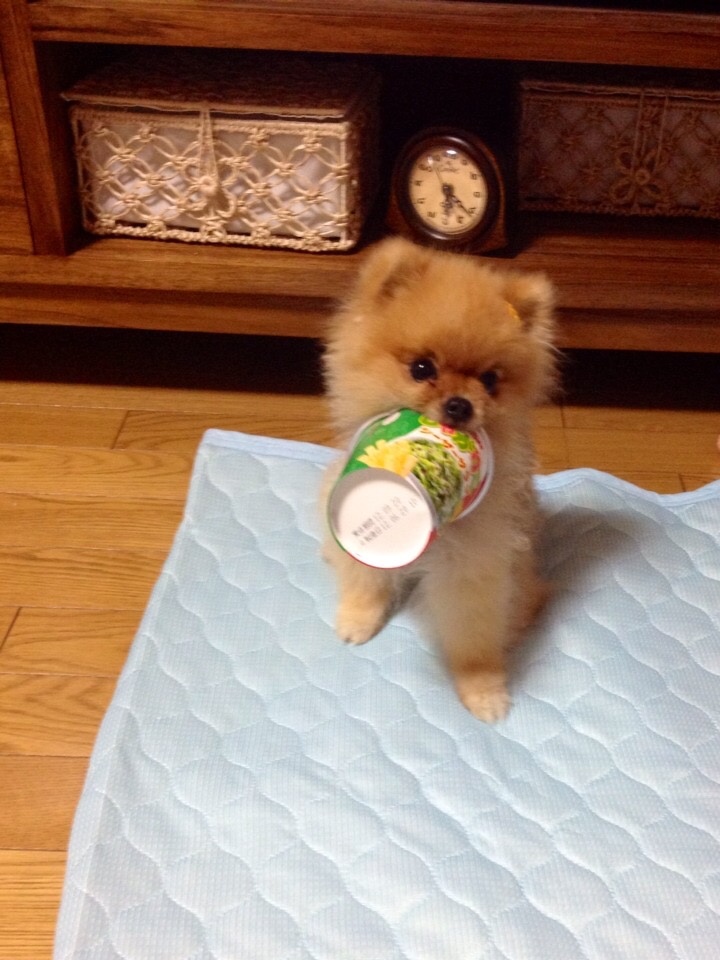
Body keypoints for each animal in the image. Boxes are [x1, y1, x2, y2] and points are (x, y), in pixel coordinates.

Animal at [320, 238, 556, 720]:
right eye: (422, 369)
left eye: (490, 380)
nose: (460, 404)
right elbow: (365, 575)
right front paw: (358, 617)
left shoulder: (475, 566)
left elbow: (474, 638)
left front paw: (482, 689)